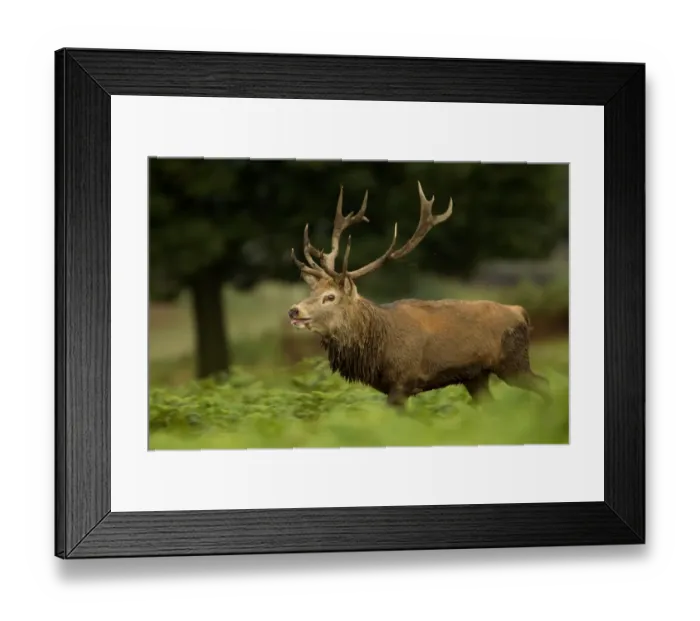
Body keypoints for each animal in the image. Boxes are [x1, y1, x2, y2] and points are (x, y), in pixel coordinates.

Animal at [288, 181, 552, 409]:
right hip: (476, 376)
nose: (294, 310)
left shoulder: (403, 381)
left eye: (330, 297)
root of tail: (520, 312)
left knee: (545, 383)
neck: (378, 349)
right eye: (313, 291)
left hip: (513, 361)